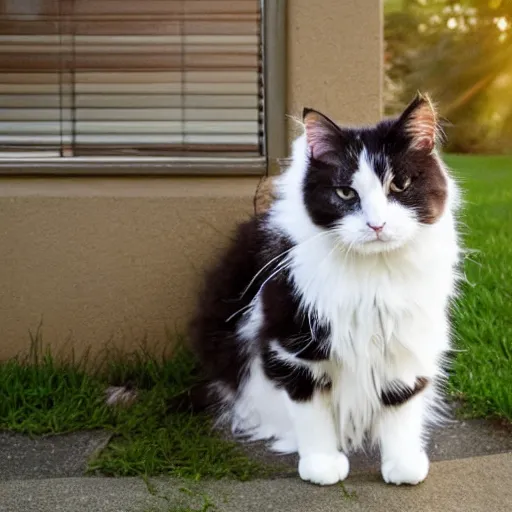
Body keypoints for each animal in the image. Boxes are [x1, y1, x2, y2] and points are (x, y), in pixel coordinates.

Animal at [190, 94, 462, 486]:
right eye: (345, 193)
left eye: (399, 186)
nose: (377, 225)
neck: (372, 278)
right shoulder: (293, 343)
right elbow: (311, 410)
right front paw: (321, 464)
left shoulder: (405, 341)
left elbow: (402, 406)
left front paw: (402, 464)